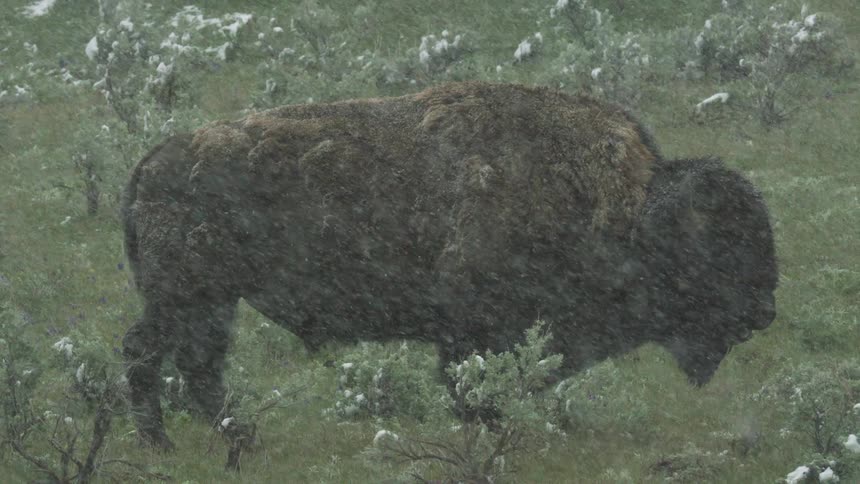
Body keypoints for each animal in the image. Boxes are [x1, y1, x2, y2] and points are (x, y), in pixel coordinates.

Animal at [120, 81, 778, 450]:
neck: (618, 207)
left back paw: (233, 440)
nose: (765, 311)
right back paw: (167, 446)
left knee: (192, 364)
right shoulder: (473, 331)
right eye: (719, 244)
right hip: (188, 296)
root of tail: (152, 161)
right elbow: (474, 392)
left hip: (208, 301)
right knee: (154, 354)